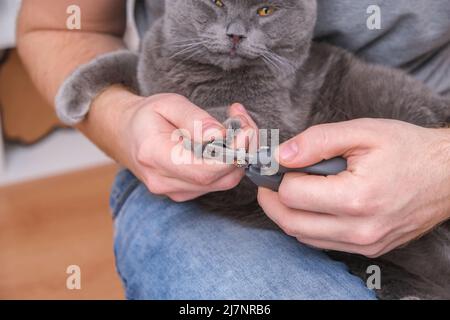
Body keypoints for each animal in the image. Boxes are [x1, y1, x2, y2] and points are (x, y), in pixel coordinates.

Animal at [57, 0, 450, 300]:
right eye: (216, 3)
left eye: (264, 11)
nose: (235, 33)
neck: (200, 77)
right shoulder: (152, 64)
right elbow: (123, 60)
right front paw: (70, 96)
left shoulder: (284, 120)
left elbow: (252, 122)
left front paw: (222, 128)